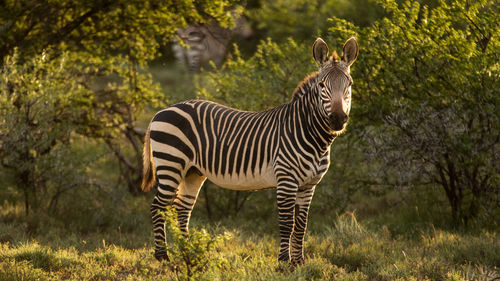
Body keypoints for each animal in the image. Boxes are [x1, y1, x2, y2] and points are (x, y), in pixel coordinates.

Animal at [143, 36, 358, 264]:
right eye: (322, 85)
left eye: (350, 84)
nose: (338, 119)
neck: (309, 133)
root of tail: (161, 111)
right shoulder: (286, 179)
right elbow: (286, 224)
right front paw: (284, 262)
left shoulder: (309, 185)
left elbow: (301, 225)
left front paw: (299, 262)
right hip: (171, 164)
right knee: (158, 208)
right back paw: (162, 256)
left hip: (192, 172)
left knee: (182, 210)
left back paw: (188, 252)